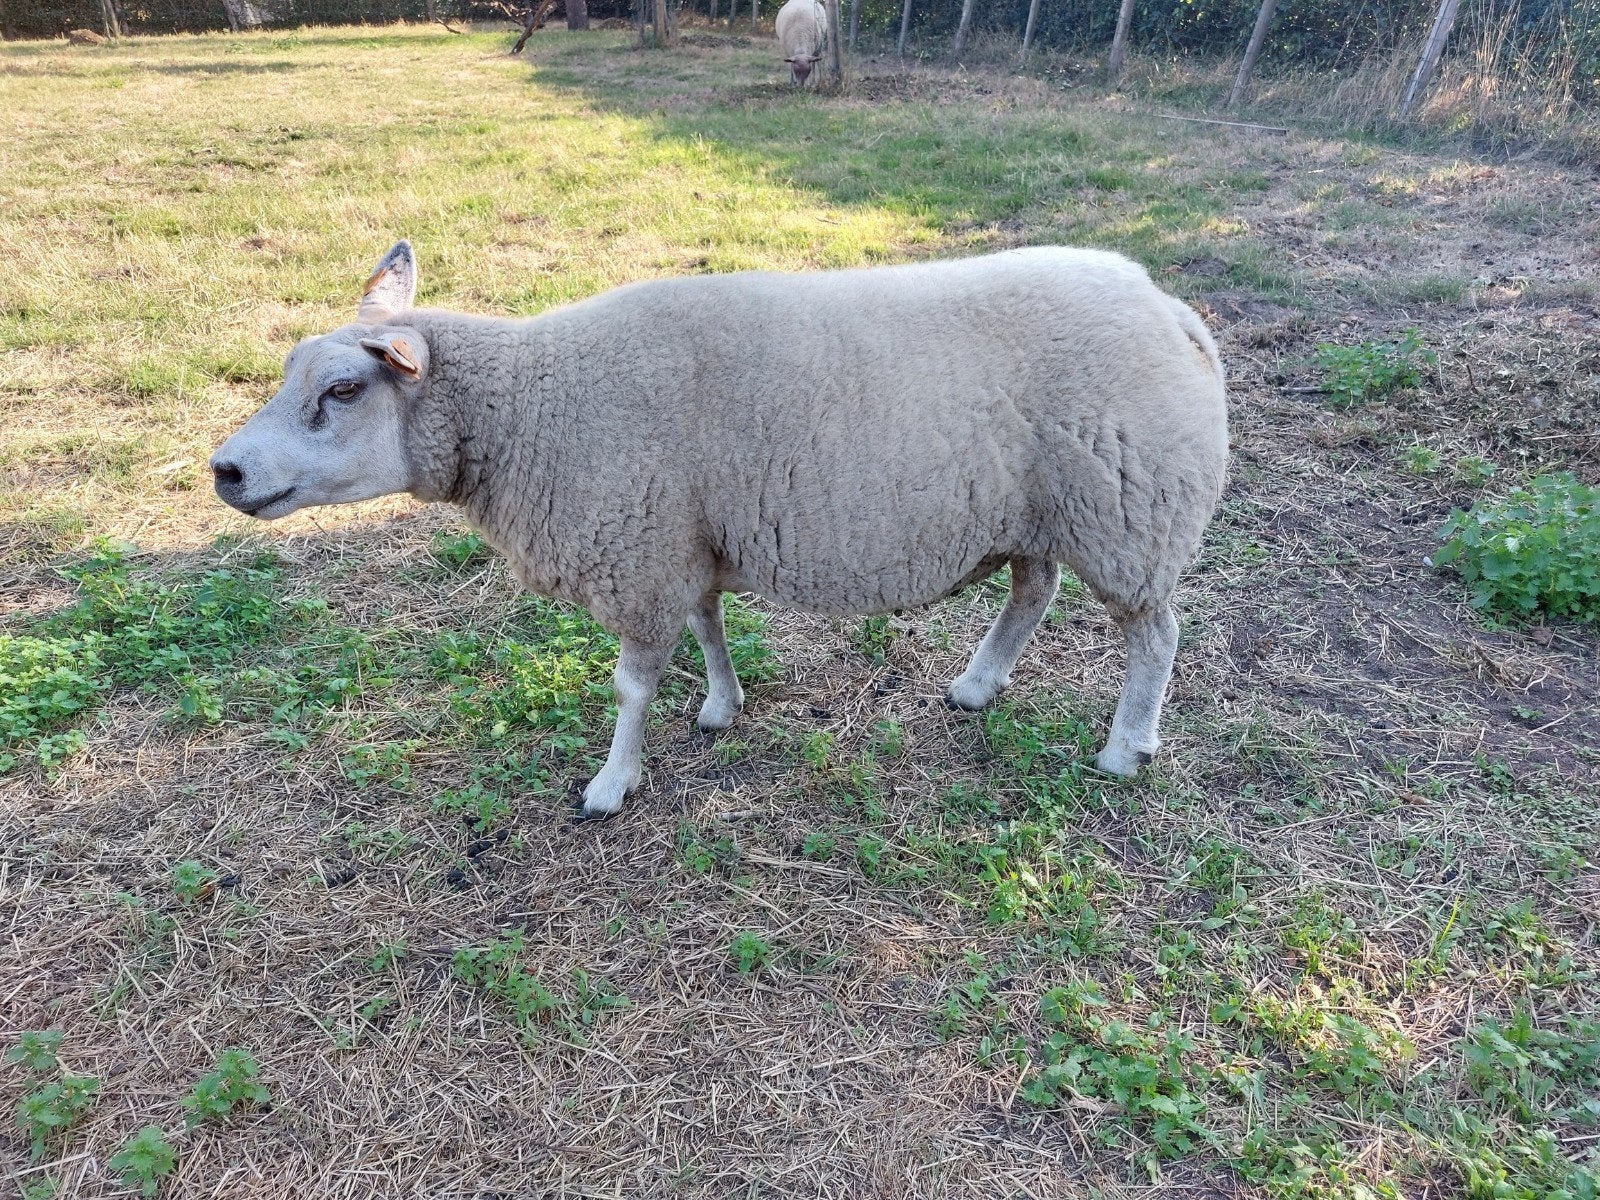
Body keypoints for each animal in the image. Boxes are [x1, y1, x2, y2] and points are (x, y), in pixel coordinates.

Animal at [211, 240, 1229, 820]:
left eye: (344, 390)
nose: (225, 470)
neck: (533, 405)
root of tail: (1174, 310)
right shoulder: (681, 541)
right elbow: (709, 628)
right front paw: (720, 705)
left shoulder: (636, 551)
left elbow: (629, 687)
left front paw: (611, 785)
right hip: (1039, 513)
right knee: (1033, 591)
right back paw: (977, 687)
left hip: (1128, 516)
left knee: (1156, 634)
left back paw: (1124, 750)